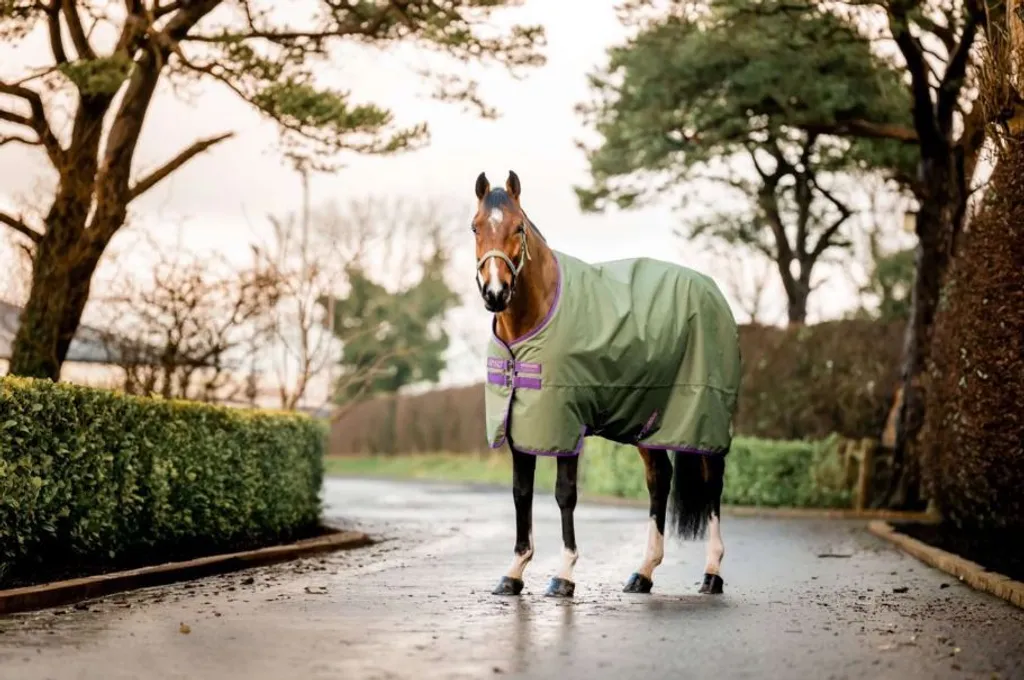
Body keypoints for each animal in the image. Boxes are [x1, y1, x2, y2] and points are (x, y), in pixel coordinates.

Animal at [471, 170, 742, 599]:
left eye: (518, 228)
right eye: (476, 227)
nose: (495, 293)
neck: (535, 319)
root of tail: (713, 292)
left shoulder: (564, 423)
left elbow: (564, 494)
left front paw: (564, 575)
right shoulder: (520, 424)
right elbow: (521, 493)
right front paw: (513, 573)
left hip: (705, 416)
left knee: (712, 483)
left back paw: (712, 574)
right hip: (652, 422)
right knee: (659, 481)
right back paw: (643, 573)